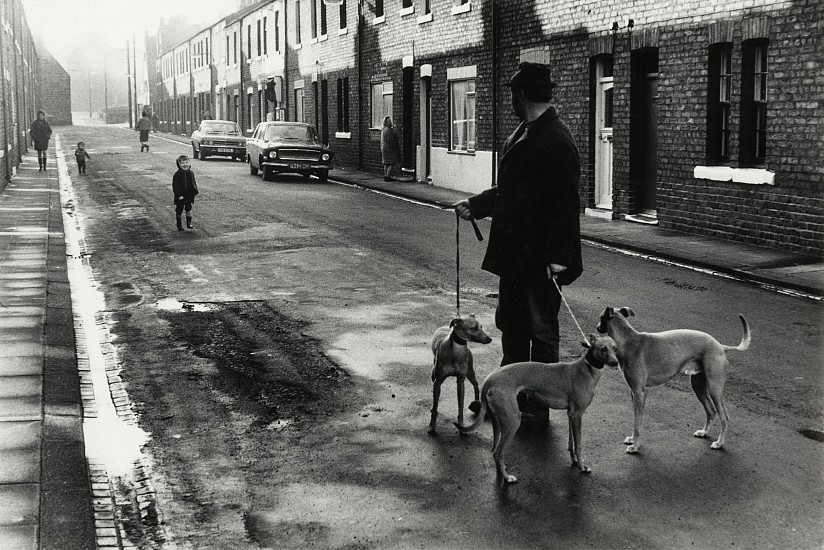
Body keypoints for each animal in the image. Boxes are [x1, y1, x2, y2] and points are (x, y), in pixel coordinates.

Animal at [458, 334, 616, 486]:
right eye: (603, 348)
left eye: (615, 347)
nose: (615, 363)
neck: (586, 369)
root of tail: (489, 379)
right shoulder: (577, 414)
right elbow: (579, 445)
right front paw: (582, 467)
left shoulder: (571, 414)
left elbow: (571, 443)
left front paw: (575, 461)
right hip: (513, 421)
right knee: (497, 453)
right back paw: (507, 478)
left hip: (498, 421)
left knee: (495, 451)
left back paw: (502, 471)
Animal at [596, 308, 748, 454]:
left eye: (600, 317)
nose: (597, 328)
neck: (628, 340)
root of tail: (720, 346)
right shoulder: (634, 393)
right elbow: (637, 421)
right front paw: (633, 440)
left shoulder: (639, 393)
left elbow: (637, 424)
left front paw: (635, 446)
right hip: (698, 386)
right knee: (710, 411)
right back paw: (704, 432)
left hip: (714, 389)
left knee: (724, 418)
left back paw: (720, 443)